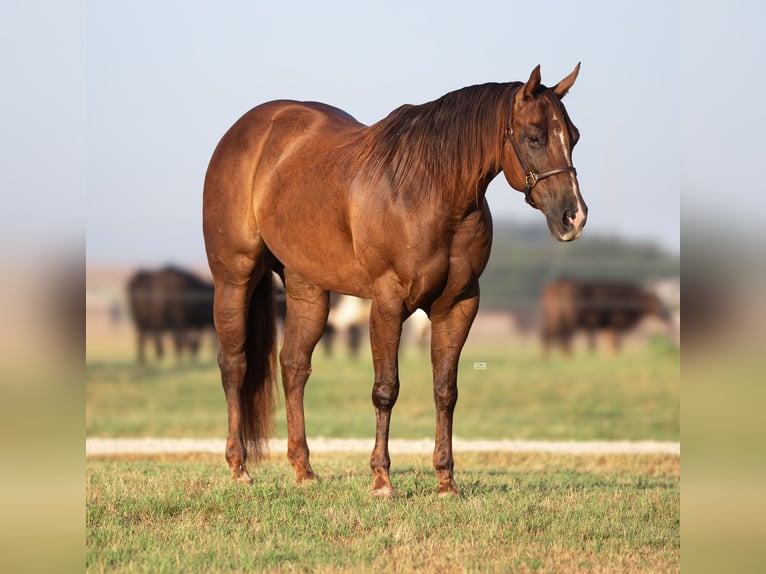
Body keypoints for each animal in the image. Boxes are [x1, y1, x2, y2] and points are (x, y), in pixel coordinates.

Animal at [202, 64, 588, 500]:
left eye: (573, 136)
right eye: (534, 136)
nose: (574, 216)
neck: (430, 192)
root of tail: (246, 131)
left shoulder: (458, 305)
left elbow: (445, 390)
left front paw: (446, 481)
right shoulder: (387, 303)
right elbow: (386, 389)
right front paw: (382, 480)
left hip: (308, 289)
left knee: (294, 366)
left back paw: (304, 469)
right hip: (234, 277)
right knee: (234, 364)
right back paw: (239, 468)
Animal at [540, 280, 672, 358]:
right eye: (659, 302)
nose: (668, 315)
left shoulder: (607, 326)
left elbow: (610, 344)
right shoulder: (616, 324)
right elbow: (616, 344)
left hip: (556, 319)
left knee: (551, 335)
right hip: (566, 320)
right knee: (561, 336)